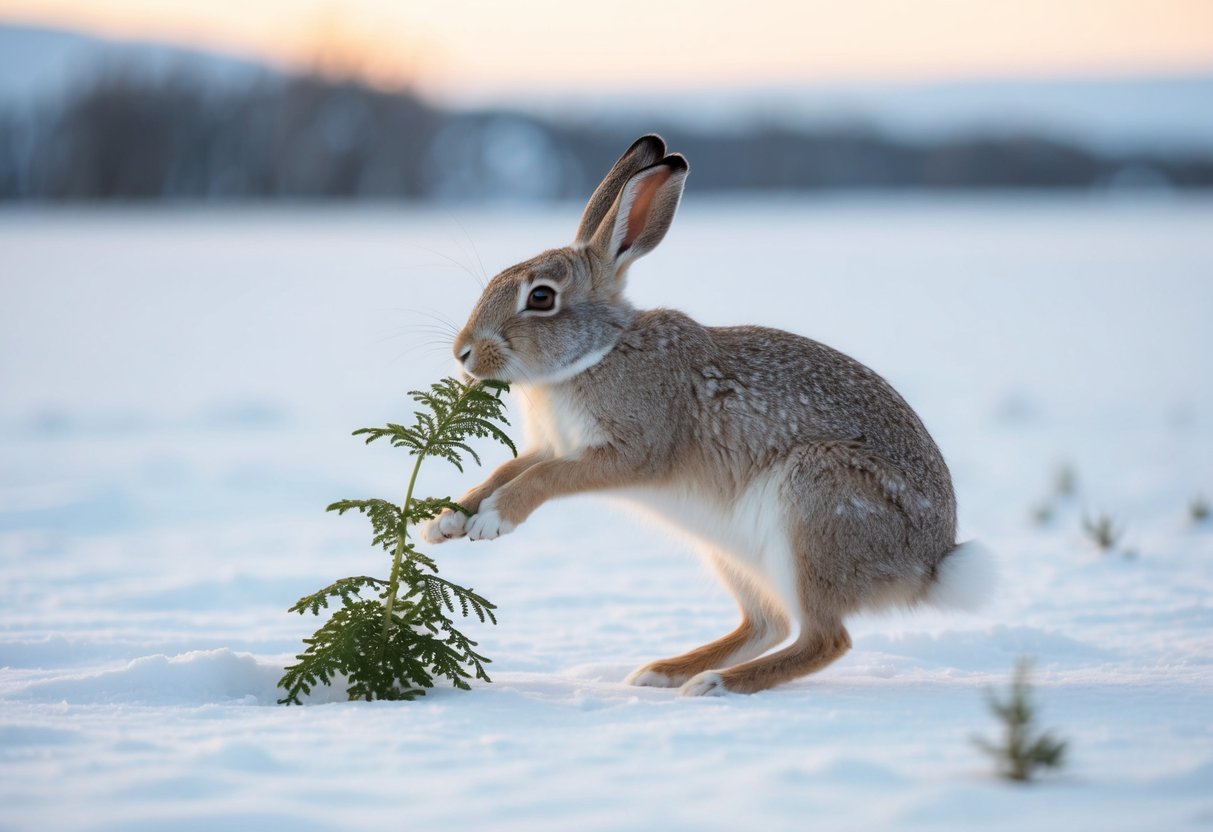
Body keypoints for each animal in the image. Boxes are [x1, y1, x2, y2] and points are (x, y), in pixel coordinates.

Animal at [420, 134, 994, 695]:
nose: (463, 353)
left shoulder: (631, 450)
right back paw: (666, 671)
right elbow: (507, 469)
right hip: (732, 549)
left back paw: (717, 683)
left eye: (541, 297)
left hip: (817, 505)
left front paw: (493, 520)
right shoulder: (550, 444)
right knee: (768, 624)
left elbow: (547, 478)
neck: (599, 351)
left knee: (825, 639)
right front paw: (446, 520)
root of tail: (930, 562)